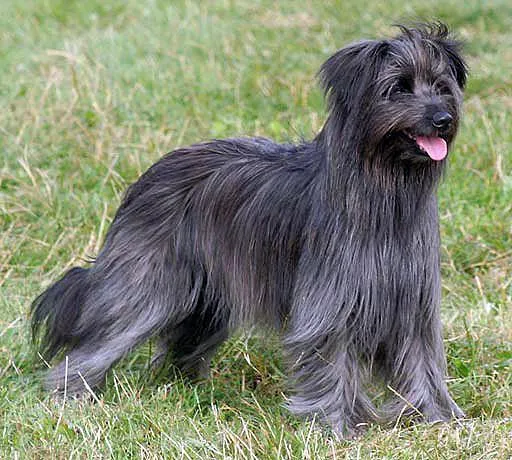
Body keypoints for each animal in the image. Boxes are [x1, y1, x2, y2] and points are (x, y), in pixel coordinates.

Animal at [31, 23, 468, 436]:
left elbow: (423, 363)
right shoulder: (329, 304)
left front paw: (439, 418)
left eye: (441, 86)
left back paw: (186, 387)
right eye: (398, 88)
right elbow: (331, 360)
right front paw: (336, 425)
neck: (385, 194)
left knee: (182, 342)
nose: (443, 119)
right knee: (99, 342)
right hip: (147, 287)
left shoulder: (413, 304)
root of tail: (147, 177)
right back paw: (71, 395)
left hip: (205, 299)